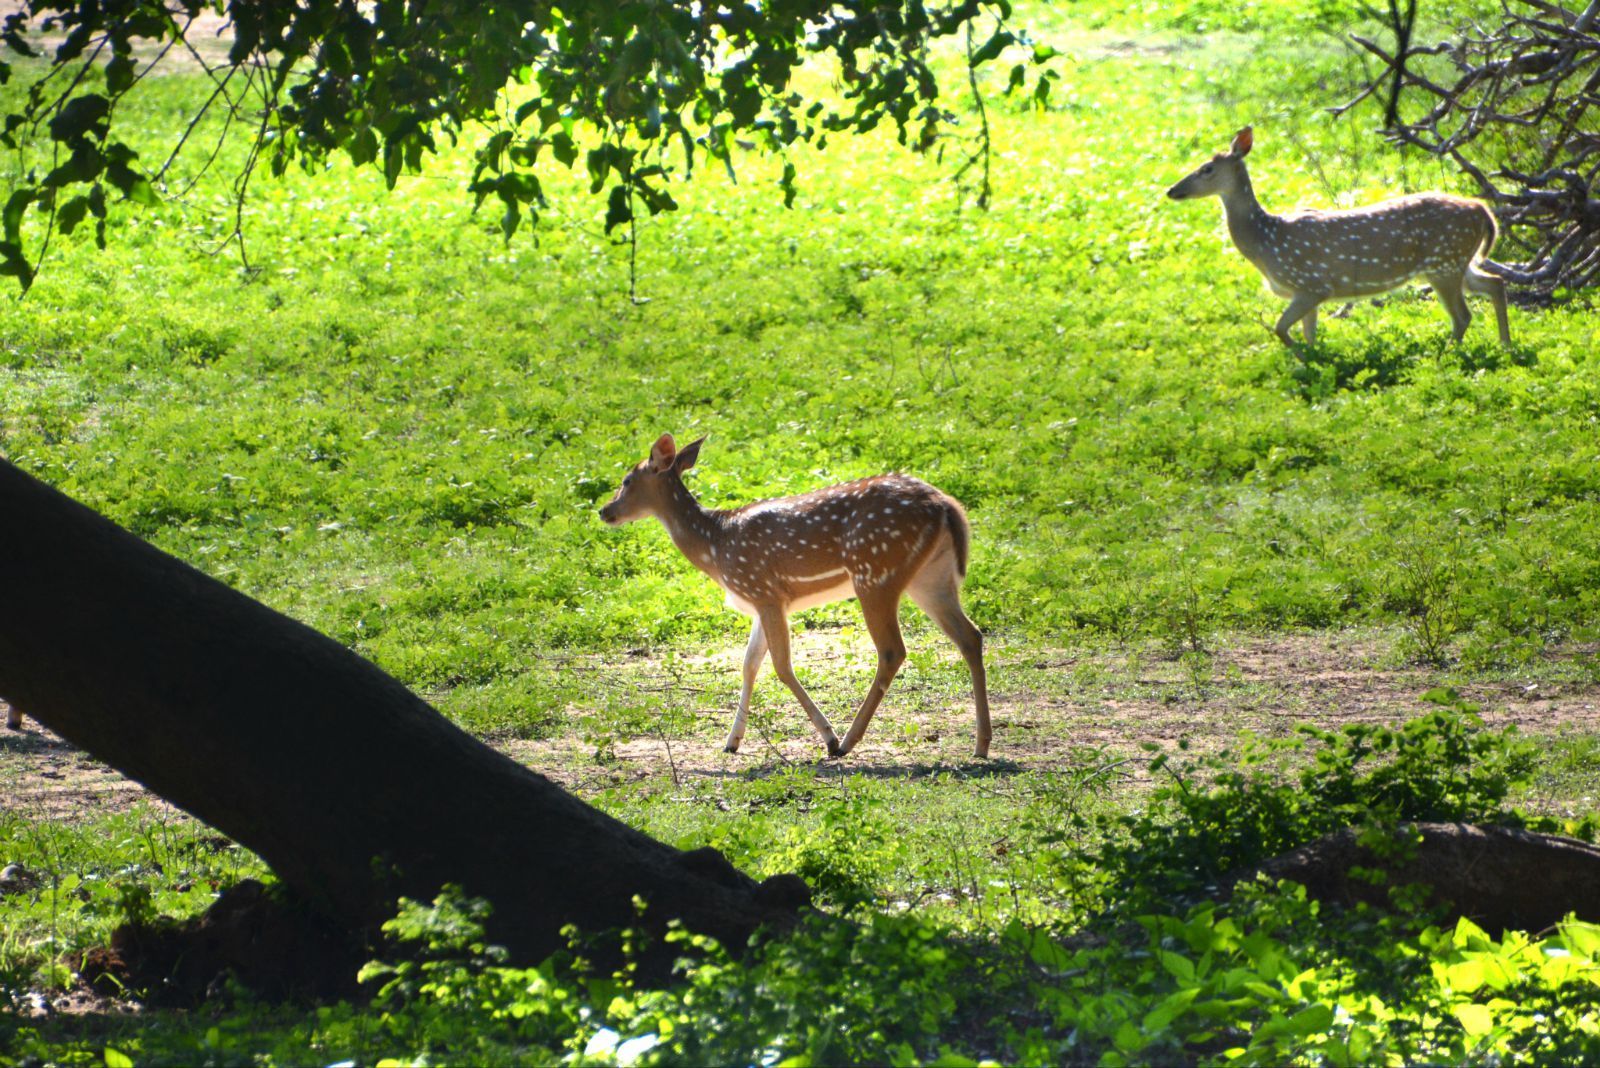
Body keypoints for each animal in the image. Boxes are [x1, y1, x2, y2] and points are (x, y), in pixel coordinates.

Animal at [601, 434, 985, 757]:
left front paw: (827, 736)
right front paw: (731, 741)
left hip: (876, 573)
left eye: (627, 480)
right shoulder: (763, 601)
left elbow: (781, 667)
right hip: (931, 577)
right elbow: (749, 665)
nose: (604, 511)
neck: (715, 547)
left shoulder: (764, 591)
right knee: (971, 636)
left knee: (892, 650)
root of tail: (945, 505)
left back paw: (847, 741)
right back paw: (981, 745)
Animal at [1171, 127, 1504, 346]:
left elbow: (1281, 330)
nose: (1172, 190)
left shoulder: (1311, 284)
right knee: (1495, 283)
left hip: (1443, 262)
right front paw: (1314, 362)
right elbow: (1308, 335)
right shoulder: (1307, 293)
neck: (1266, 243)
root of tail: (1481, 210)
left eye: (1207, 168)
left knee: (1463, 315)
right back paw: (1506, 346)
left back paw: (1447, 354)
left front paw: (1305, 361)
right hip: (1458, 262)